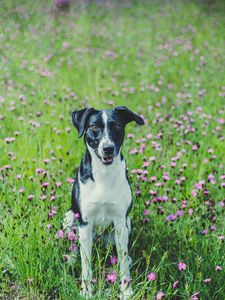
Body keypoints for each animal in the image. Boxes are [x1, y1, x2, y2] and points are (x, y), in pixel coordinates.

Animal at [63, 106, 144, 298]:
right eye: (94, 127)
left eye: (117, 126)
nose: (108, 148)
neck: (103, 174)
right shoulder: (85, 222)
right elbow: (86, 264)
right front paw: (86, 291)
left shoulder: (121, 221)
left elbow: (122, 260)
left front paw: (126, 290)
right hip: (69, 217)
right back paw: (72, 258)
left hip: (127, 224)